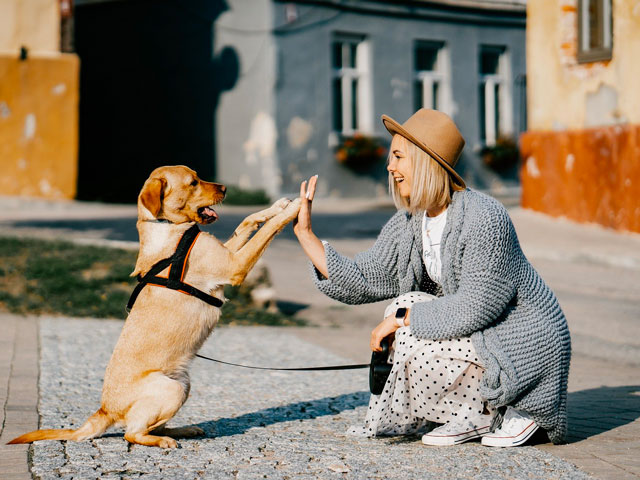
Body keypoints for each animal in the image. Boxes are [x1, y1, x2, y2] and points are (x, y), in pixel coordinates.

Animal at [8, 166, 302, 450]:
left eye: (198, 177)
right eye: (193, 182)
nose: (226, 188)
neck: (168, 228)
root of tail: (104, 410)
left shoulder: (227, 253)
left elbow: (248, 221)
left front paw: (278, 205)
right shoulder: (234, 265)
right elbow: (267, 231)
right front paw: (295, 208)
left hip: (183, 384)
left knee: (151, 426)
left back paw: (183, 430)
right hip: (170, 389)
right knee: (132, 433)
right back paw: (163, 441)